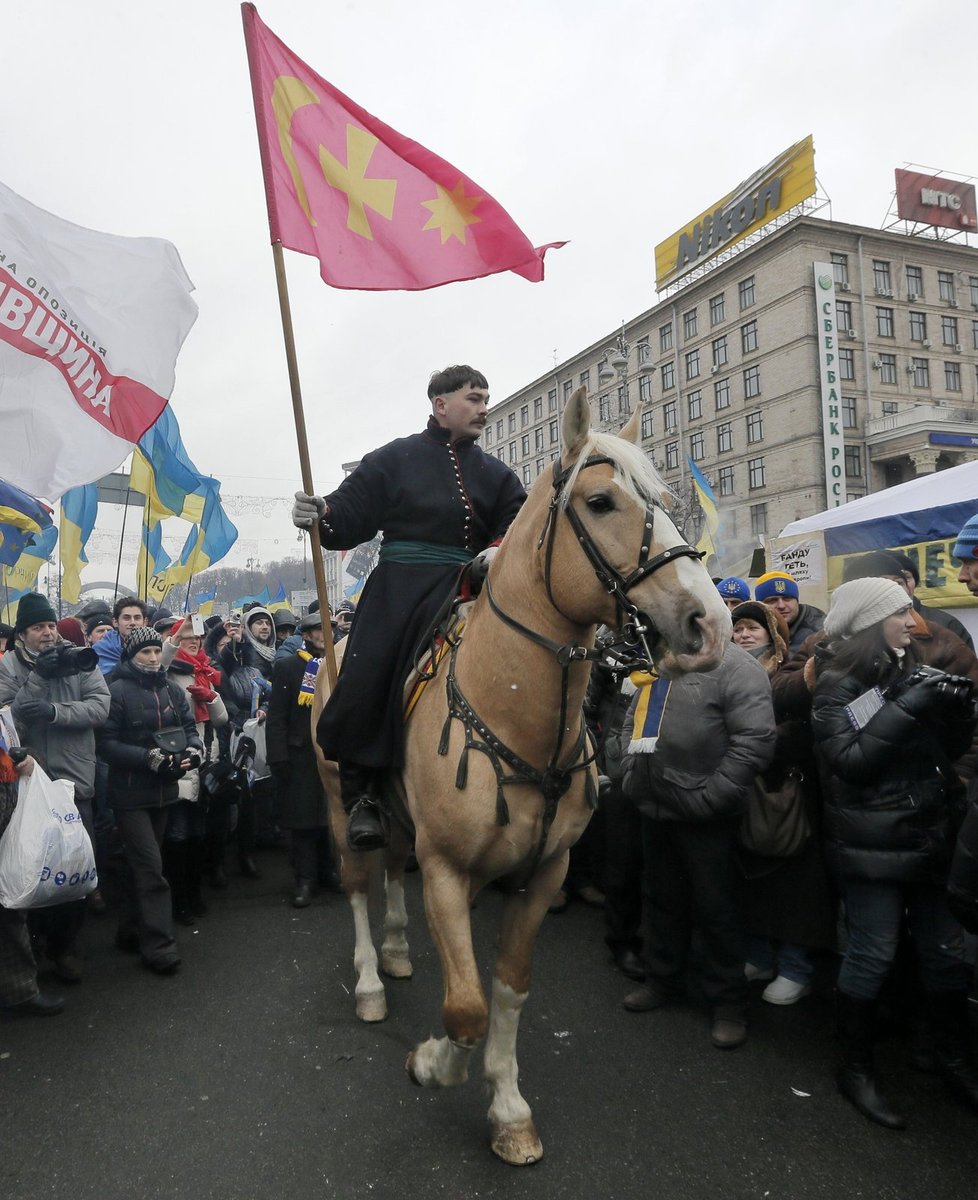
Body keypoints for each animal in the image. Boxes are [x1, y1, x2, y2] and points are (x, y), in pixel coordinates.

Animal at [309, 391, 729, 1161]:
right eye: (600, 501)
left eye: (663, 499)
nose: (707, 625)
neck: (516, 707)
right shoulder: (447, 869)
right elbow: (465, 1007)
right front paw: (431, 1062)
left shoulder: (544, 872)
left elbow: (505, 989)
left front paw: (507, 1107)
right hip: (335, 799)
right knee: (356, 880)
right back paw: (371, 980)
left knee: (392, 868)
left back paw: (397, 949)